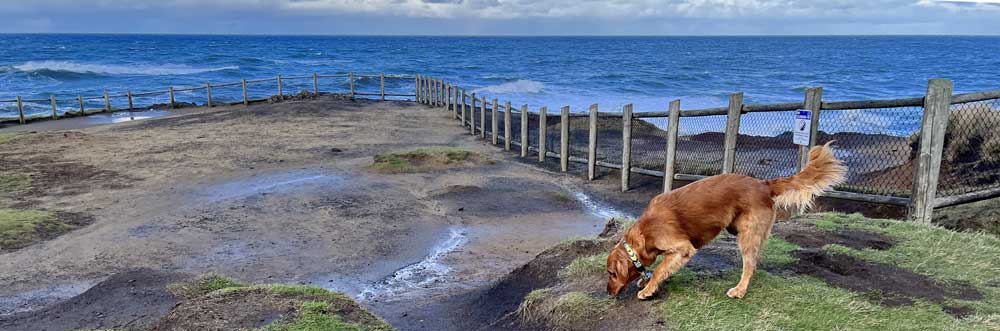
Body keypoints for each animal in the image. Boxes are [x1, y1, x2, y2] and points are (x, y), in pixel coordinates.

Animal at [608, 144, 844, 300]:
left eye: (611, 274)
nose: (607, 292)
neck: (645, 231)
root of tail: (763, 184)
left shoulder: (683, 248)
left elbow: (659, 269)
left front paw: (647, 288)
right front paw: (646, 281)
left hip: (747, 234)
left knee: (749, 265)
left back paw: (740, 290)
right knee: (755, 260)